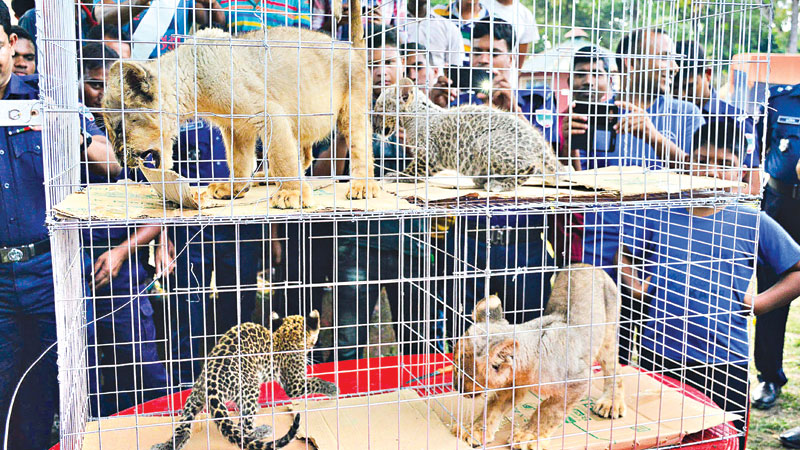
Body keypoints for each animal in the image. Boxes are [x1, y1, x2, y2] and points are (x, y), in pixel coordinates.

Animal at [102, 0, 378, 209]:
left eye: (118, 129)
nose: (118, 160)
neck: (193, 83)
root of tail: (350, 47)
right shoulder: (235, 126)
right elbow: (239, 160)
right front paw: (232, 188)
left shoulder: (268, 113)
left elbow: (281, 156)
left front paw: (292, 194)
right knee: (305, 155)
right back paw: (265, 178)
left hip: (352, 111)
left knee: (360, 147)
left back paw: (363, 186)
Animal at [151, 311, 338, 450]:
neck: (285, 336)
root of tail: (212, 383)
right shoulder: (295, 383)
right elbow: (313, 382)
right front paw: (332, 388)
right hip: (250, 389)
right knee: (243, 430)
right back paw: (262, 430)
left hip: (195, 395)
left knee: (184, 427)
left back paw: (167, 444)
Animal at [372, 79, 565, 192]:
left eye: (379, 111)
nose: (373, 128)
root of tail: (537, 139)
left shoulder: (429, 154)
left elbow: (413, 171)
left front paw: (395, 176)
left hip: (486, 143)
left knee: (529, 167)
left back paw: (498, 185)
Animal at [451, 264, 626, 450]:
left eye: (462, 371)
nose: (456, 387)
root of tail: (588, 265)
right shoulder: (513, 385)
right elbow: (492, 408)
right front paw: (474, 430)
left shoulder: (578, 381)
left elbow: (549, 410)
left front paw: (528, 436)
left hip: (607, 335)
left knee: (615, 370)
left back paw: (611, 403)